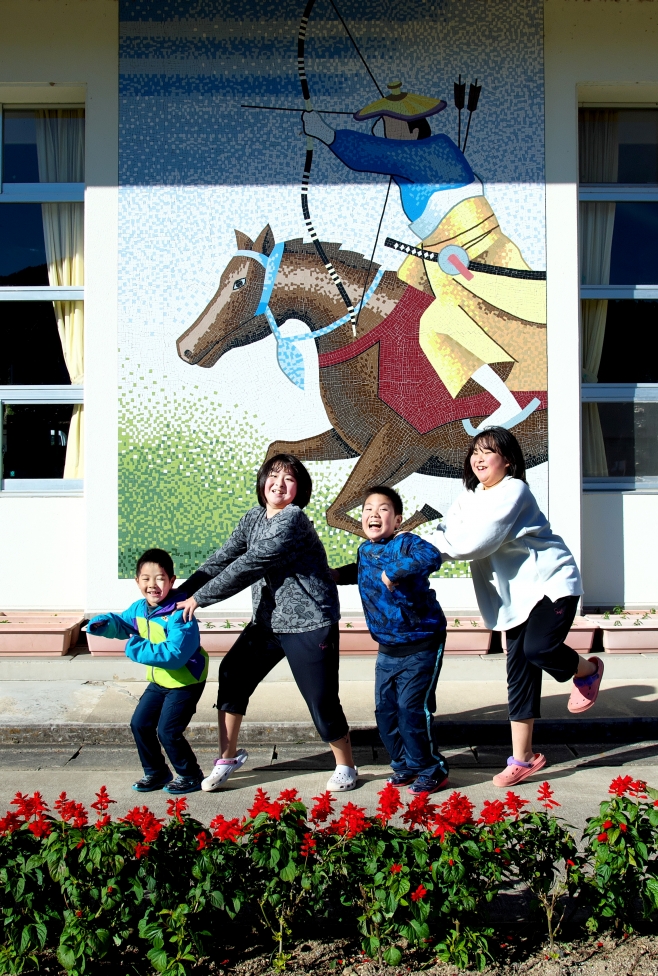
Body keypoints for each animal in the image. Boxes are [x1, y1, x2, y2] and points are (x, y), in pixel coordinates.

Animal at [174, 226, 544, 536]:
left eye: (239, 283)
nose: (184, 346)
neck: (376, 341)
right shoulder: (352, 441)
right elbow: (278, 449)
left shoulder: (400, 449)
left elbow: (340, 513)